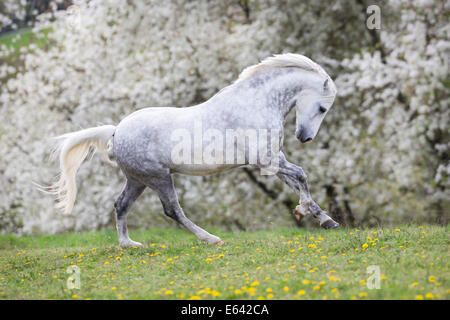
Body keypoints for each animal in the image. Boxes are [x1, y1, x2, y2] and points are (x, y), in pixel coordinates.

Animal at [47, 53, 340, 248]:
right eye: (322, 108)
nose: (305, 137)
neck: (256, 103)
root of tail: (116, 130)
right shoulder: (266, 160)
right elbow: (301, 175)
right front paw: (307, 212)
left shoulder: (273, 159)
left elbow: (297, 182)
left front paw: (324, 219)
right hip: (159, 178)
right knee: (172, 210)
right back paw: (210, 238)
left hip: (138, 180)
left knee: (121, 204)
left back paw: (129, 245)